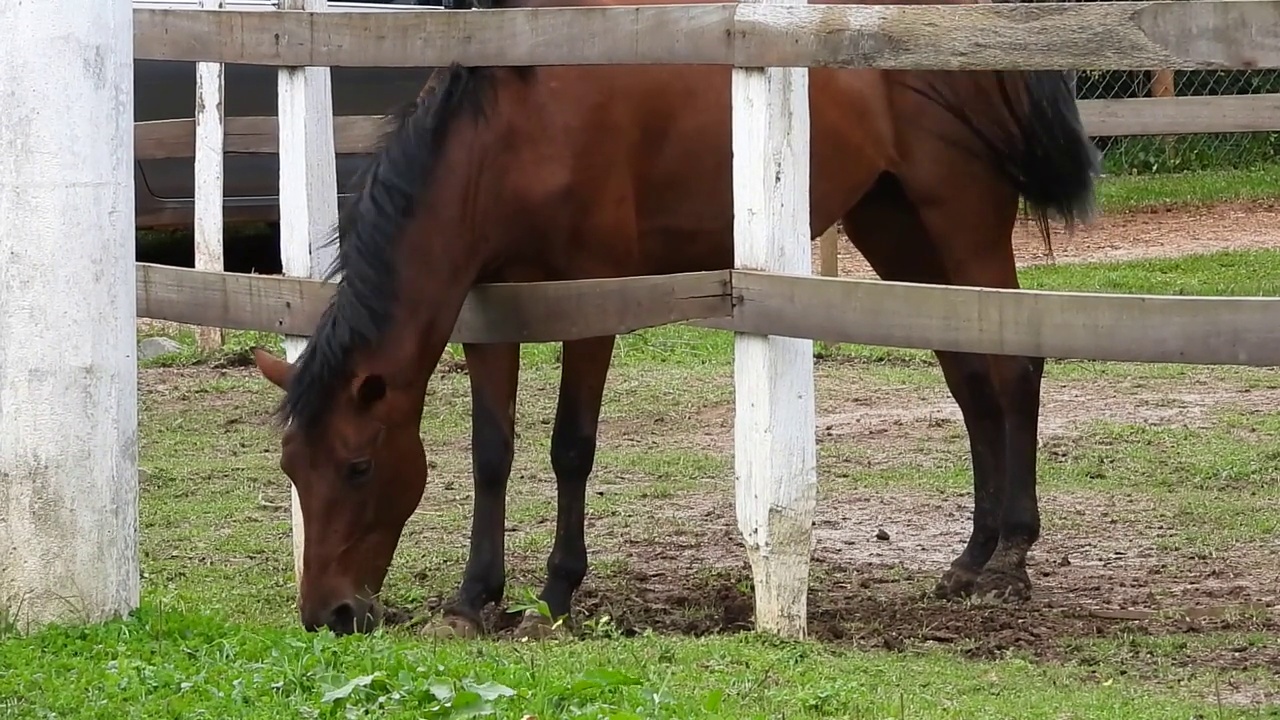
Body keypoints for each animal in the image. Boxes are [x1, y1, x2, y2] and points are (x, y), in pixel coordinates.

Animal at [249, 0, 1100, 632]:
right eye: (293, 468)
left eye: (358, 467)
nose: (330, 613)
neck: (521, 130)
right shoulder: (491, 310)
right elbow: (492, 451)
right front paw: (472, 597)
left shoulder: (591, 306)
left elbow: (570, 448)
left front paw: (555, 593)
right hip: (896, 226)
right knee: (970, 379)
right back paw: (971, 556)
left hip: (961, 222)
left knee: (1014, 370)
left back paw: (1011, 558)